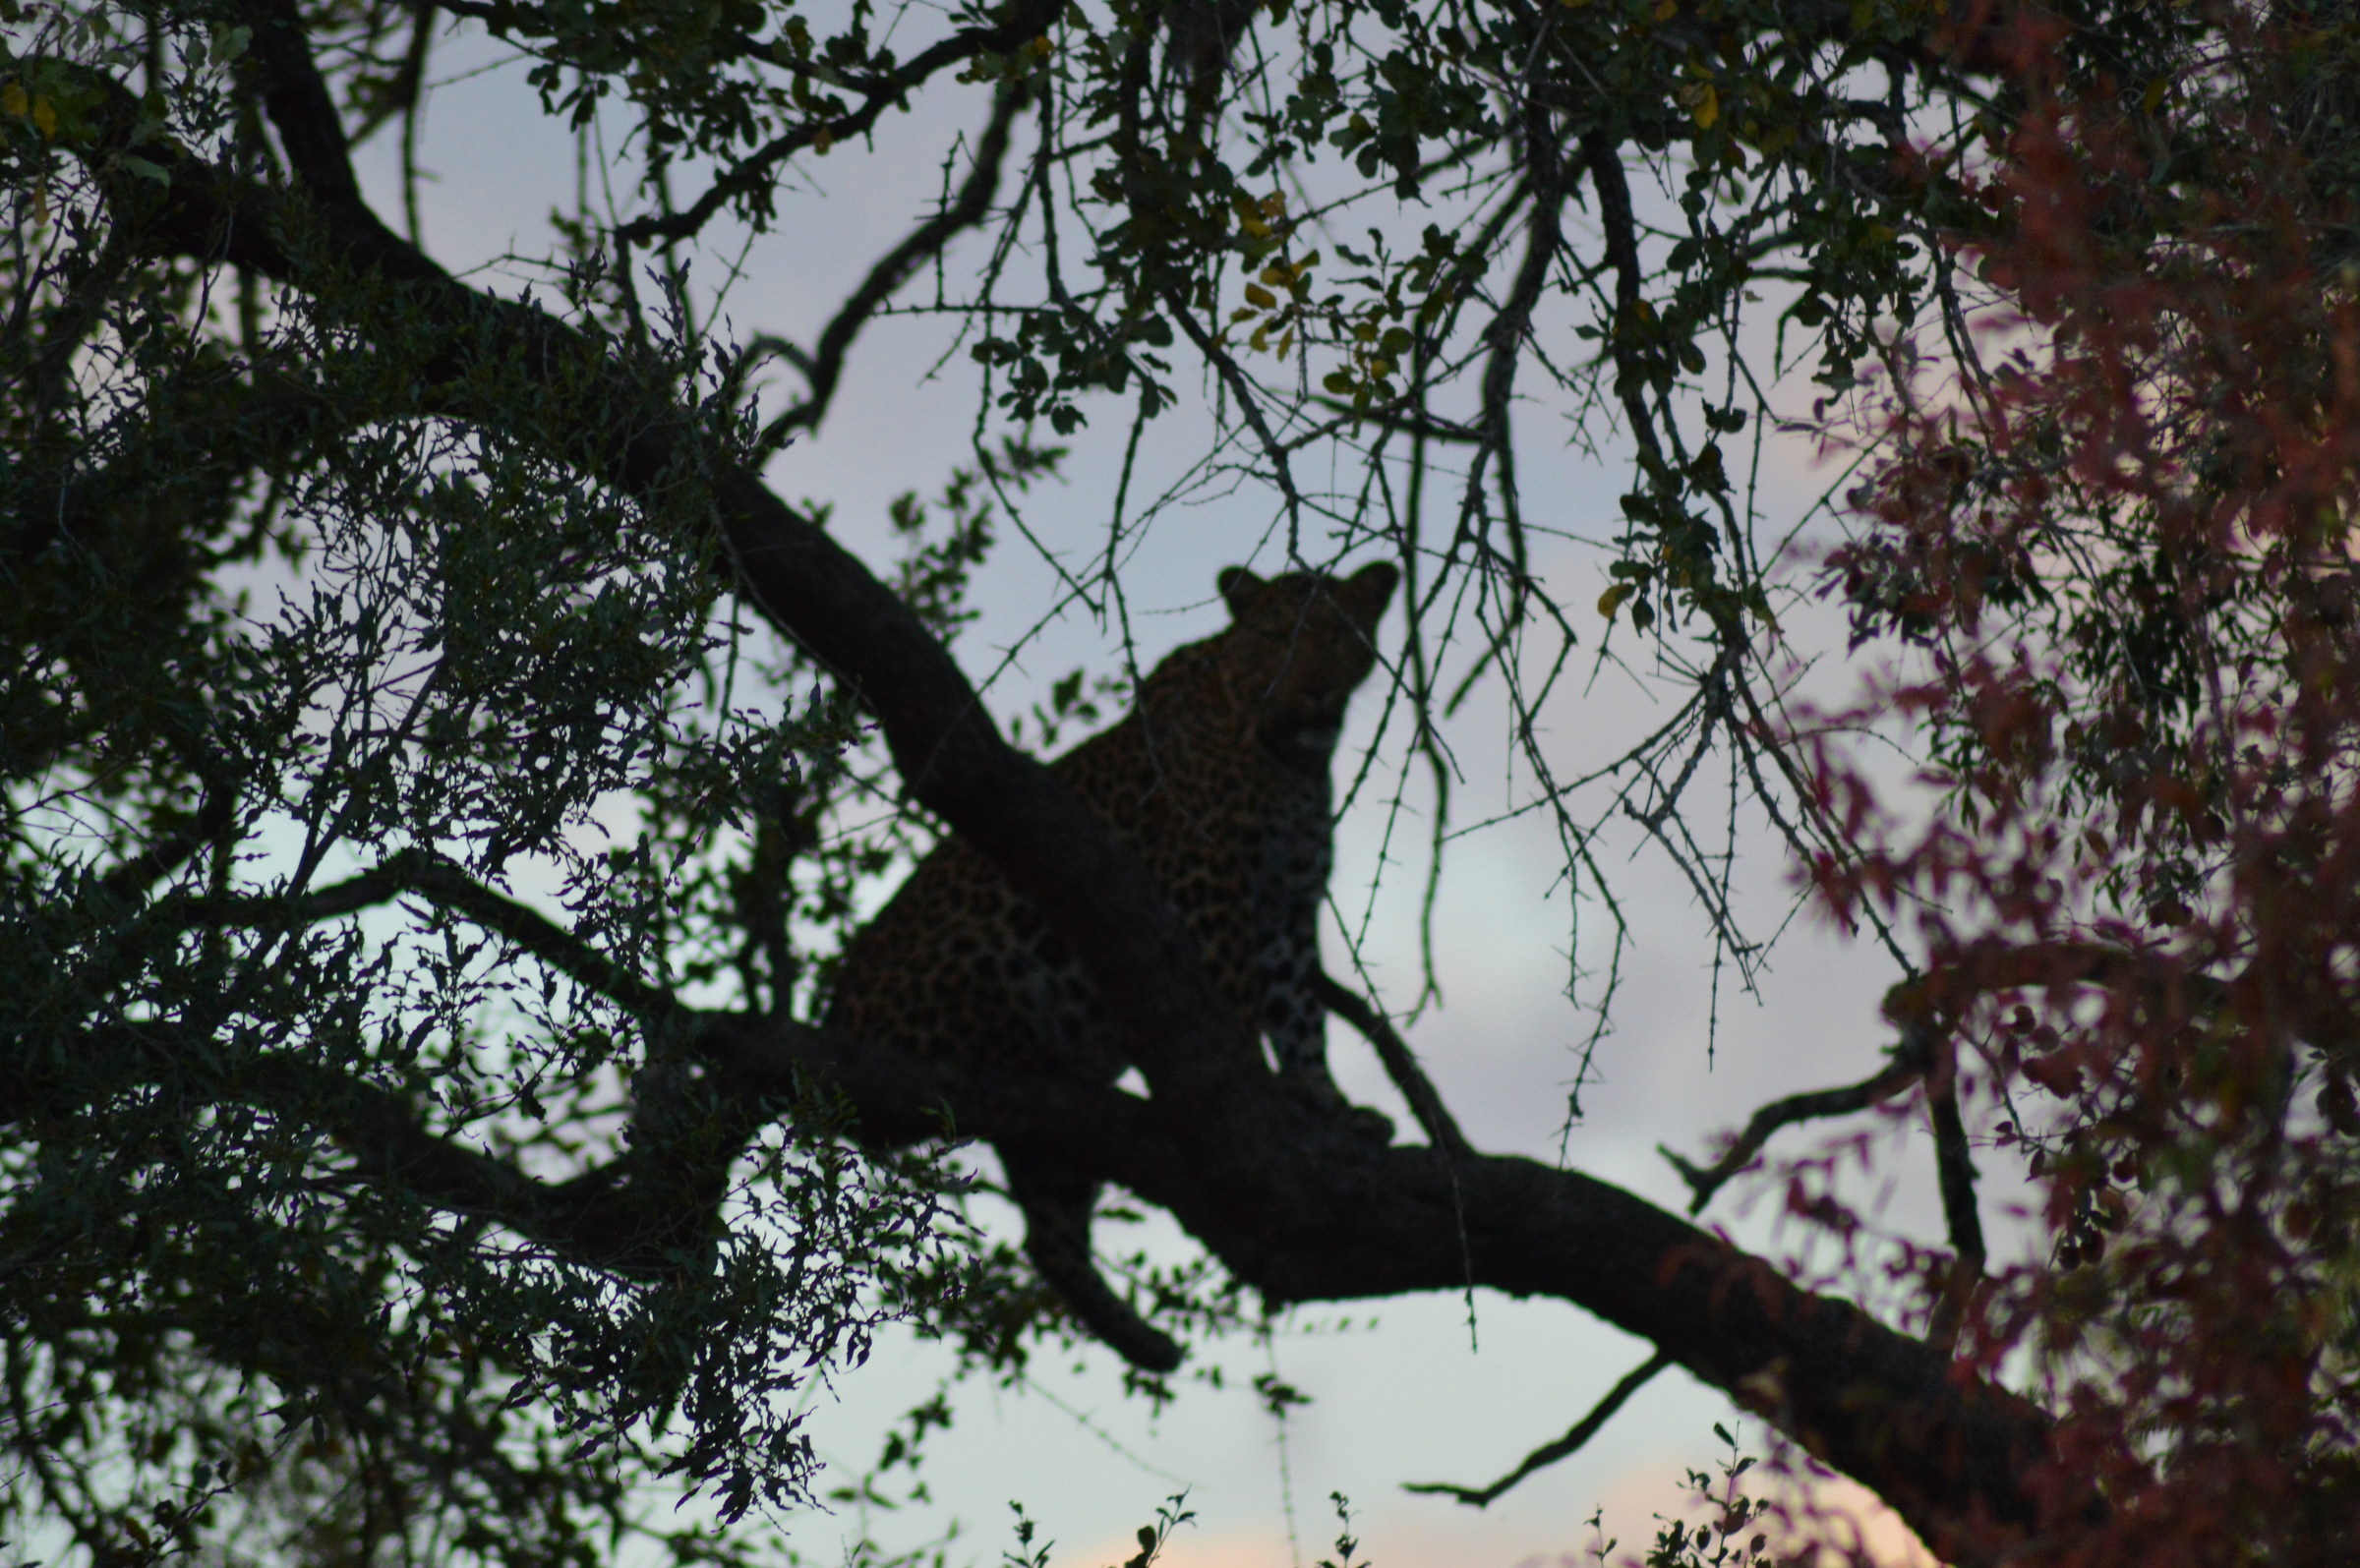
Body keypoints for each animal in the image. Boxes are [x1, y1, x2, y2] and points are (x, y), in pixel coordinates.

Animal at [825, 561, 1399, 1371]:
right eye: (1273, 642)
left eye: (1339, 637)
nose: (1316, 690)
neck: (1291, 756)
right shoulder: (1211, 884)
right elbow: (1237, 1008)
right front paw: (1269, 1099)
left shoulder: (1288, 912)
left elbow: (1301, 1019)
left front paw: (1331, 1107)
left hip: (1053, 1156)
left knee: (1050, 1233)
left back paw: (1145, 1341)